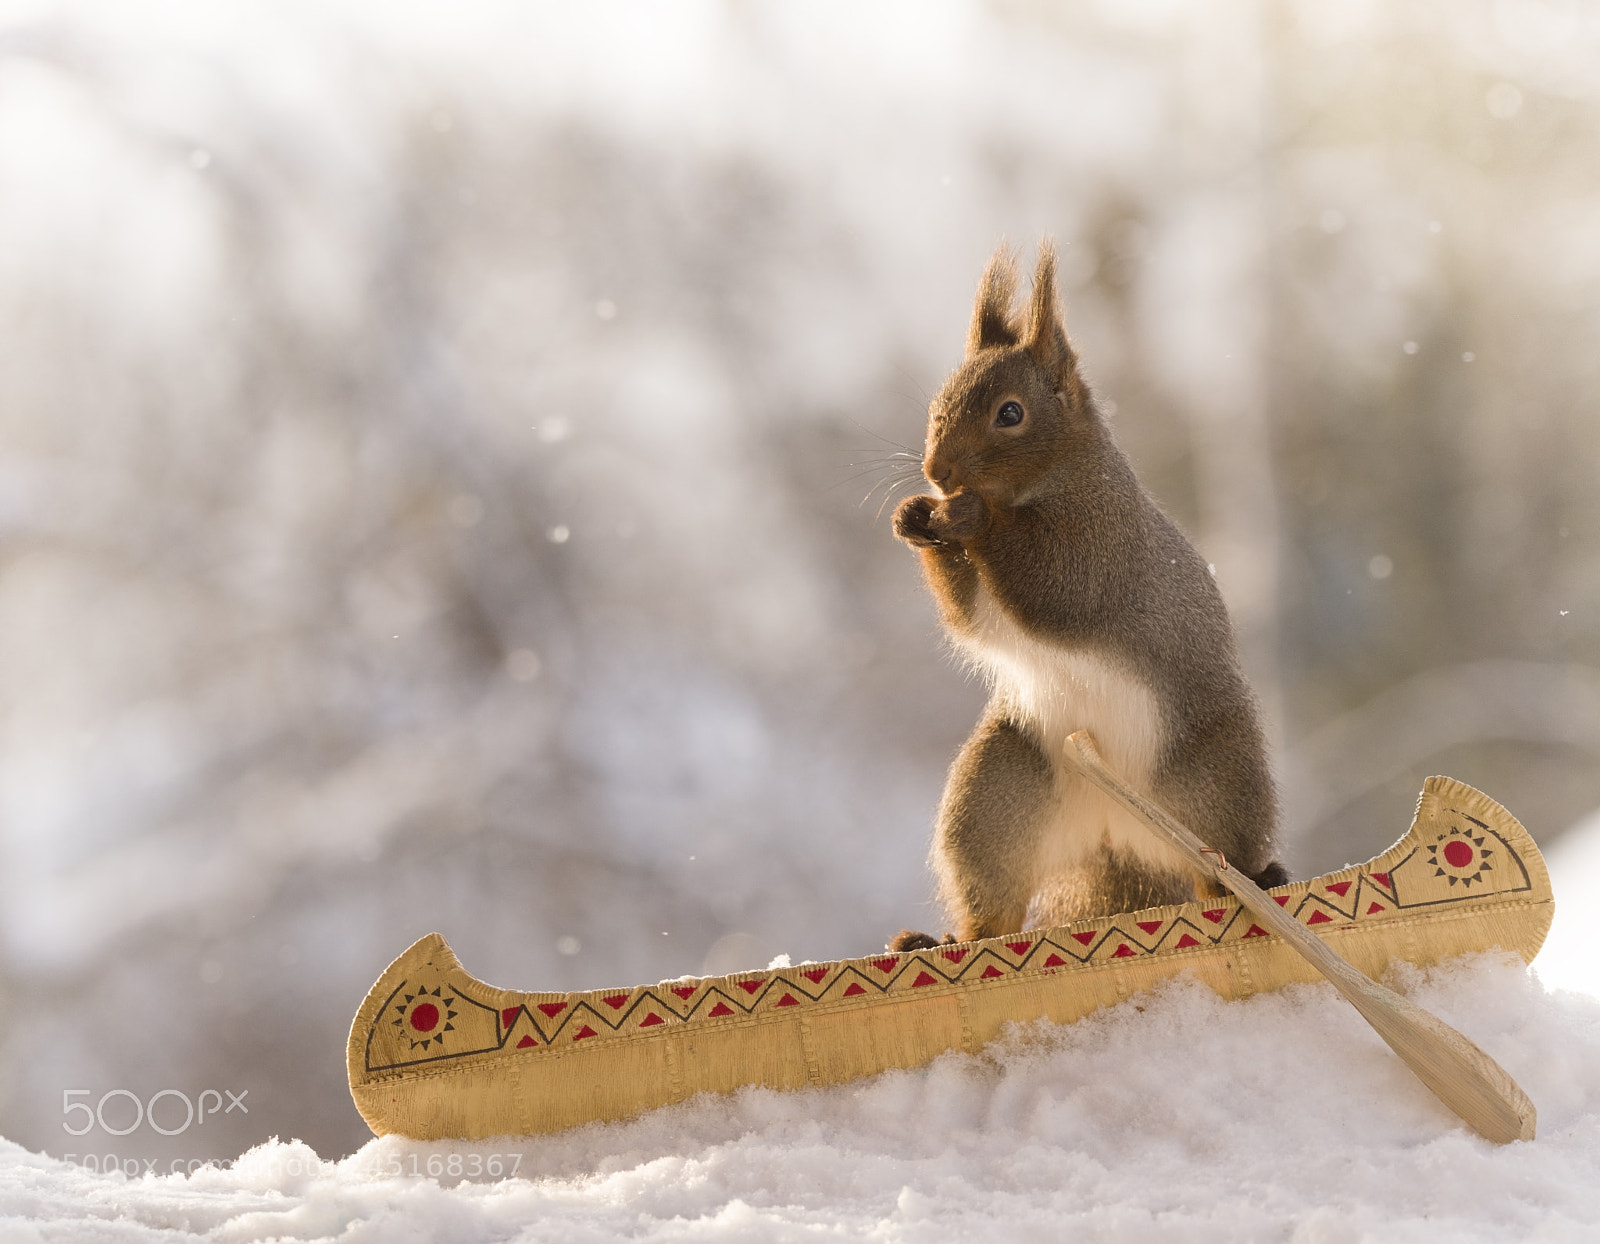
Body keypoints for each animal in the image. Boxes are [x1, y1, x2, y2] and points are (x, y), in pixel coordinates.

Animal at [889, 242, 1287, 952]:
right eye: (938, 401)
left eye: (1010, 413)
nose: (938, 472)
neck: (1056, 477)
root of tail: (1115, 837)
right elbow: (971, 619)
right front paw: (917, 517)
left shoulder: (1101, 546)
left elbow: (1054, 583)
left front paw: (969, 516)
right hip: (998, 795)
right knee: (995, 907)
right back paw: (948, 941)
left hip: (1216, 782)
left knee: (1218, 872)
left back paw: (1246, 888)